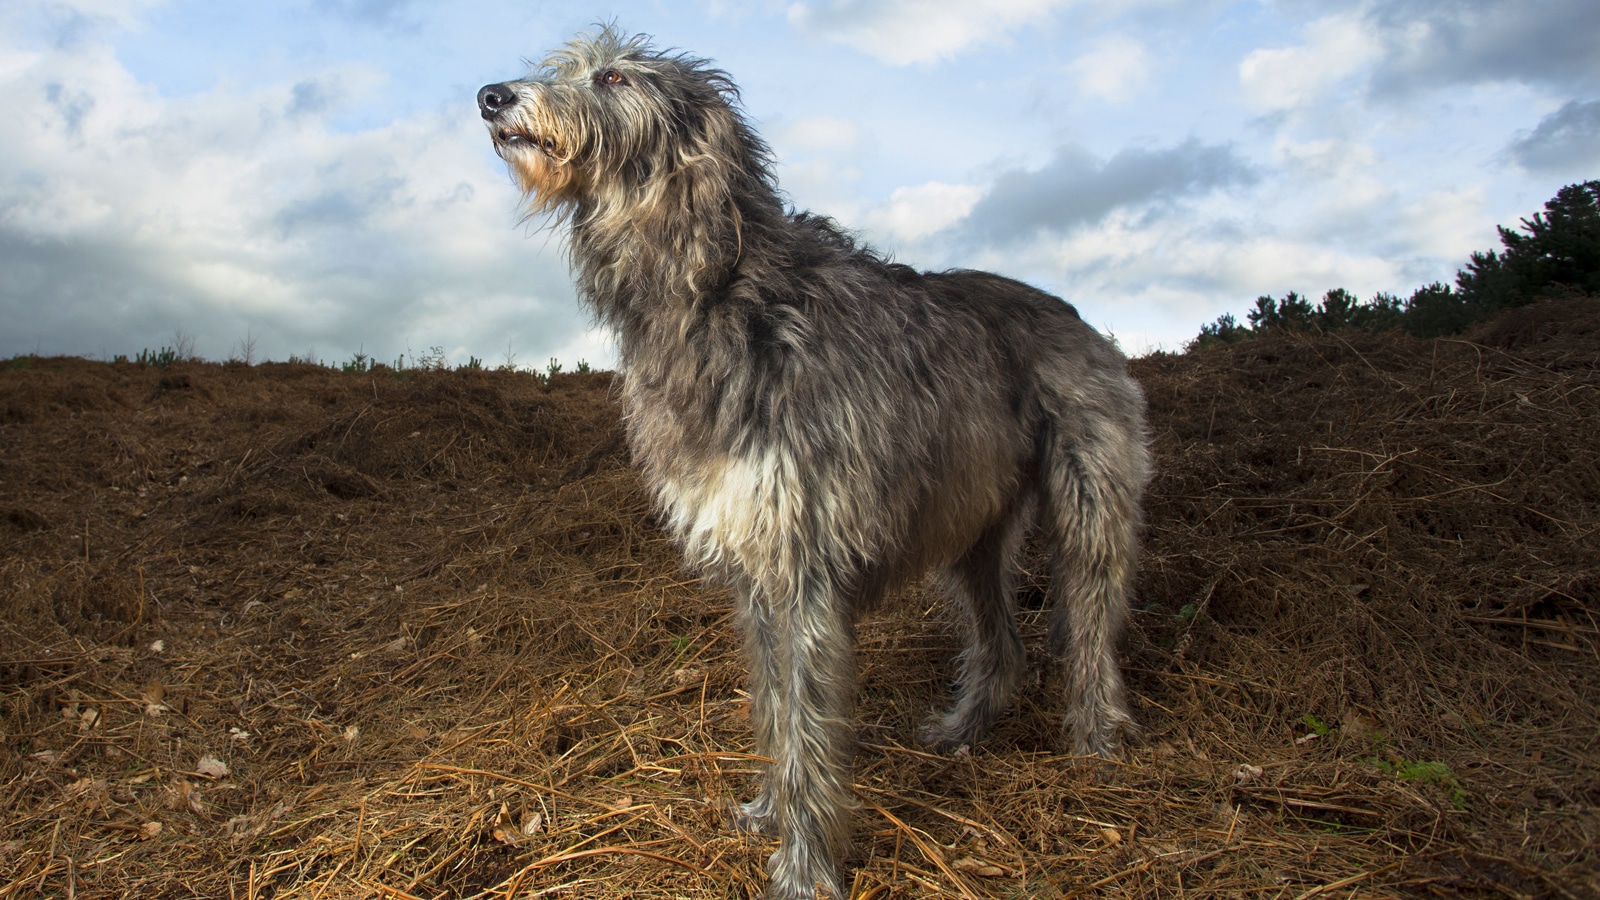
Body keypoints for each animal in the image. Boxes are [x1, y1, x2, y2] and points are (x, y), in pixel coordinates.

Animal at [473, 28, 1152, 896]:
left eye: (615, 77)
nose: (490, 96)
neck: (716, 289)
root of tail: (1073, 314)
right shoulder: (755, 565)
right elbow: (772, 707)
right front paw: (769, 811)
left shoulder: (803, 563)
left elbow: (807, 725)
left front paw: (804, 866)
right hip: (973, 523)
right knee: (1002, 644)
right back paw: (964, 727)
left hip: (1090, 499)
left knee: (1093, 623)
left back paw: (1097, 741)